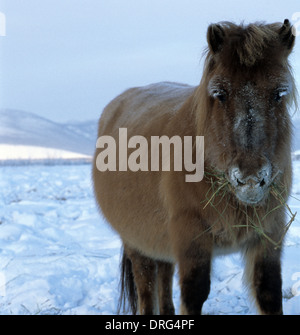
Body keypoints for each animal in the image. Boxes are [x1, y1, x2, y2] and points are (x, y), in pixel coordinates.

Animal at [93, 20, 298, 316]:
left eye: (279, 93)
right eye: (220, 94)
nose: (249, 179)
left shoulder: (269, 233)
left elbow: (269, 291)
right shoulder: (191, 238)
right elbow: (194, 293)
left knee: (164, 277)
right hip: (137, 244)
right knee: (146, 288)